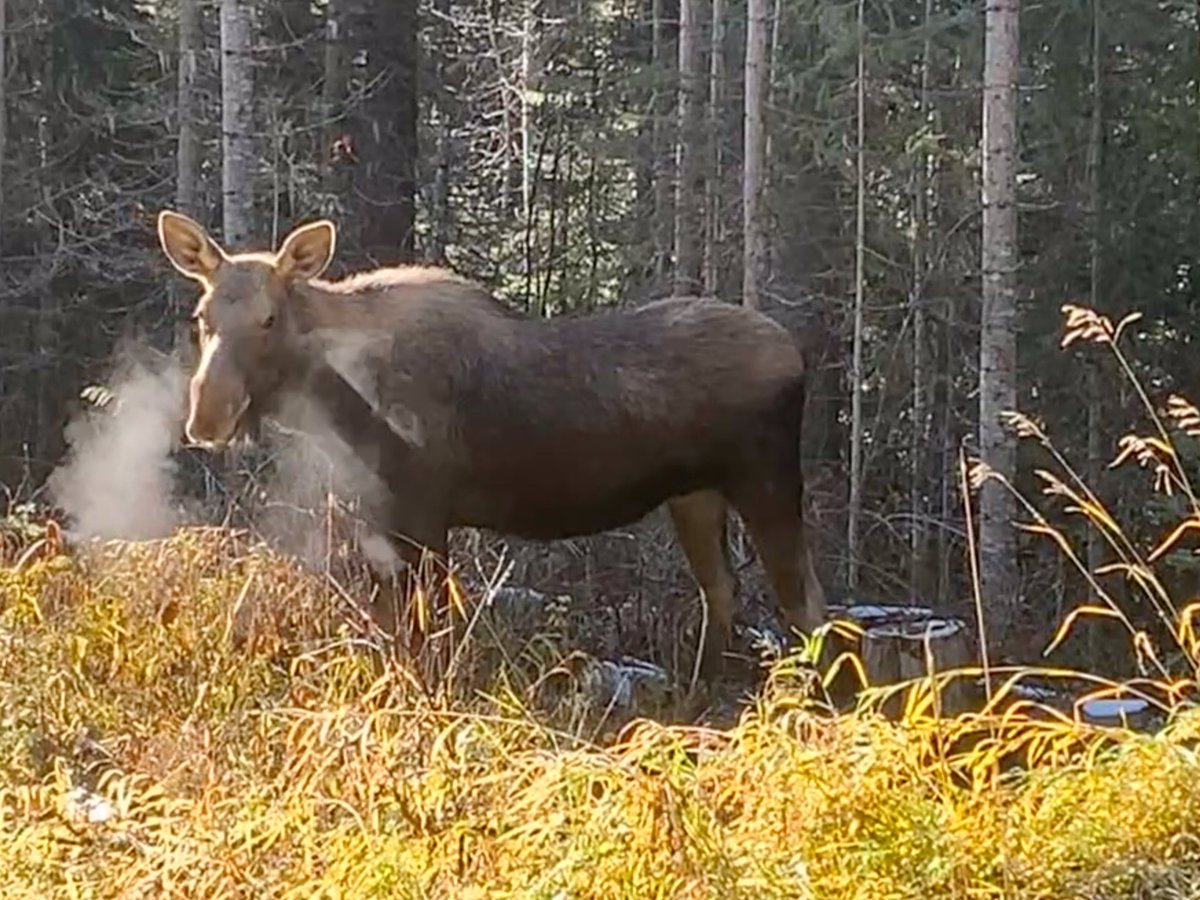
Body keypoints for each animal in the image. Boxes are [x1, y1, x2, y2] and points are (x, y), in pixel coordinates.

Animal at [156, 209, 828, 676]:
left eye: (269, 318)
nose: (207, 414)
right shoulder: (373, 519)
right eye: (201, 316)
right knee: (722, 593)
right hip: (694, 495)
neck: (340, 397)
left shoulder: (425, 512)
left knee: (807, 605)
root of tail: (798, 354)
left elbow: (427, 639)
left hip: (766, 479)